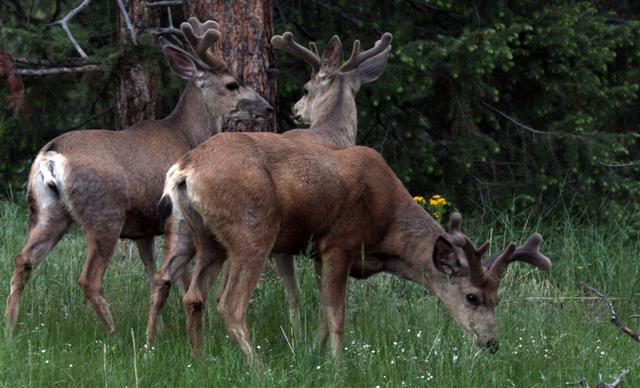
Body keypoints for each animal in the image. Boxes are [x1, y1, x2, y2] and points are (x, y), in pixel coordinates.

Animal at [6, 18, 272, 334]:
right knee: (89, 279)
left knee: (23, 259)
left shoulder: (143, 229)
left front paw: (161, 327)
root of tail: (50, 156)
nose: (267, 106)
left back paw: (10, 327)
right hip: (104, 214)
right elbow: (181, 278)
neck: (186, 134)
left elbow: (151, 274)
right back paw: (113, 332)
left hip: (47, 210)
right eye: (232, 84)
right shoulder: (172, 218)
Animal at [147, 31, 392, 344]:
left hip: (182, 226)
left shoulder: (288, 245)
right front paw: (310, 340)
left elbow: (295, 292)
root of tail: (185, 168)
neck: (331, 132)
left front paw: (299, 337)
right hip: (247, 228)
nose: (295, 110)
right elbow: (314, 293)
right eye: (305, 87)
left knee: (165, 278)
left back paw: (152, 343)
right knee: (222, 297)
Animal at [160, 132, 552, 366]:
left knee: (194, 296)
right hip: (252, 229)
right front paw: (337, 365)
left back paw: (199, 361)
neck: (387, 230)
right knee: (230, 303)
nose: (491, 344)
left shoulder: (319, 254)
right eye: (472, 296)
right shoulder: (339, 243)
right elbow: (337, 315)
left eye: (498, 298)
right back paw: (259, 369)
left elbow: (323, 312)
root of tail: (185, 169)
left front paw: (313, 355)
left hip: (207, 237)